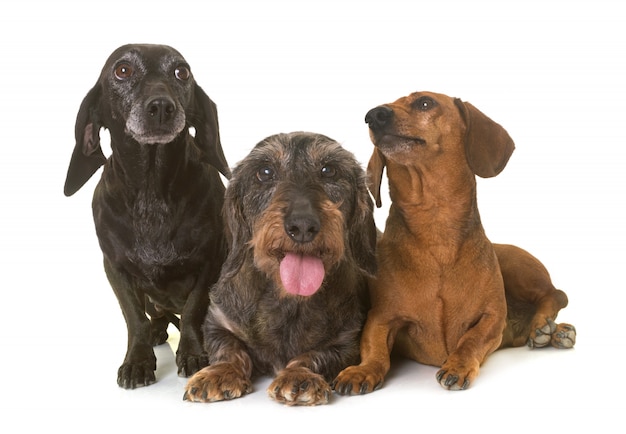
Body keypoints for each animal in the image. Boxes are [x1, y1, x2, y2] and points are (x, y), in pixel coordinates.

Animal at [64, 45, 229, 390]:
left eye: (182, 72)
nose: (162, 107)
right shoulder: (115, 268)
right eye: (122, 70)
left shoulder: (209, 262)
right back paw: (157, 330)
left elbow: (193, 309)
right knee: (157, 315)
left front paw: (192, 352)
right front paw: (137, 360)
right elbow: (134, 317)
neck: (152, 190)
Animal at [180, 131, 376, 406]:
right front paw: (219, 373)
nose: (302, 225)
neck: (288, 298)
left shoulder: (346, 342)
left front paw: (298, 375)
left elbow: (313, 356)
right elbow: (229, 349)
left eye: (329, 170)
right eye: (265, 172)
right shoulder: (218, 323)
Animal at [332, 90, 576, 392]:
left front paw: (458, 365)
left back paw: (544, 326)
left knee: (556, 295)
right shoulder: (380, 317)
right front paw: (362, 370)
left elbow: (471, 339)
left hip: (514, 266)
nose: (373, 115)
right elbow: (375, 349)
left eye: (425, 102)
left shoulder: (493, 317)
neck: (435, 228)